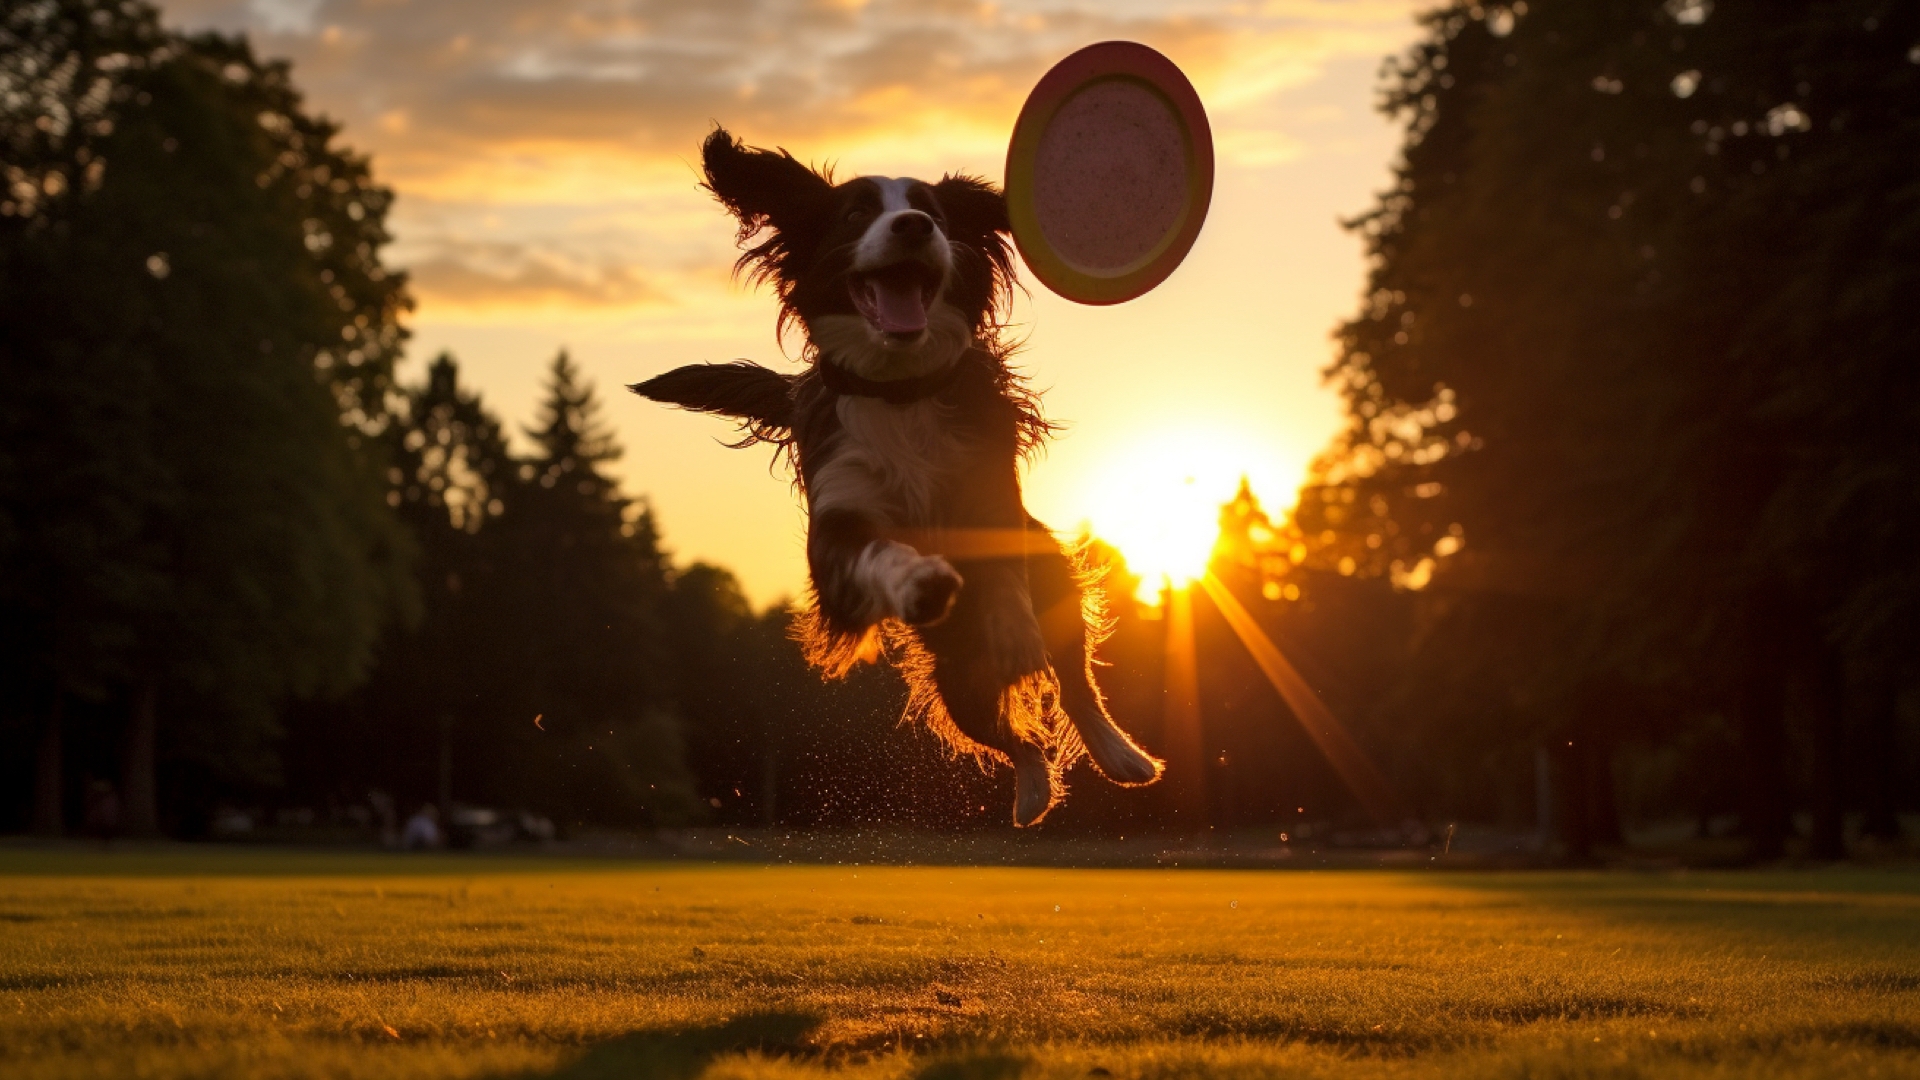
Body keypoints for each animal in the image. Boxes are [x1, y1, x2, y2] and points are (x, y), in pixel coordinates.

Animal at [629, 130, 1152, 822]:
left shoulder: (989, 488)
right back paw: (1032, 794)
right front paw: (920, 578)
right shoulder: (836, 525)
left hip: (1054, 589)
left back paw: (1122, 756)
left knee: (1073, 681)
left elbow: (1002, 572)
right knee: (1011, 738)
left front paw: (1009, 625)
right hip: (957, 679)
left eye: (934, 212)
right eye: (856, 213)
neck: (900, 390)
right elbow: (878, 552)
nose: (913, 226)